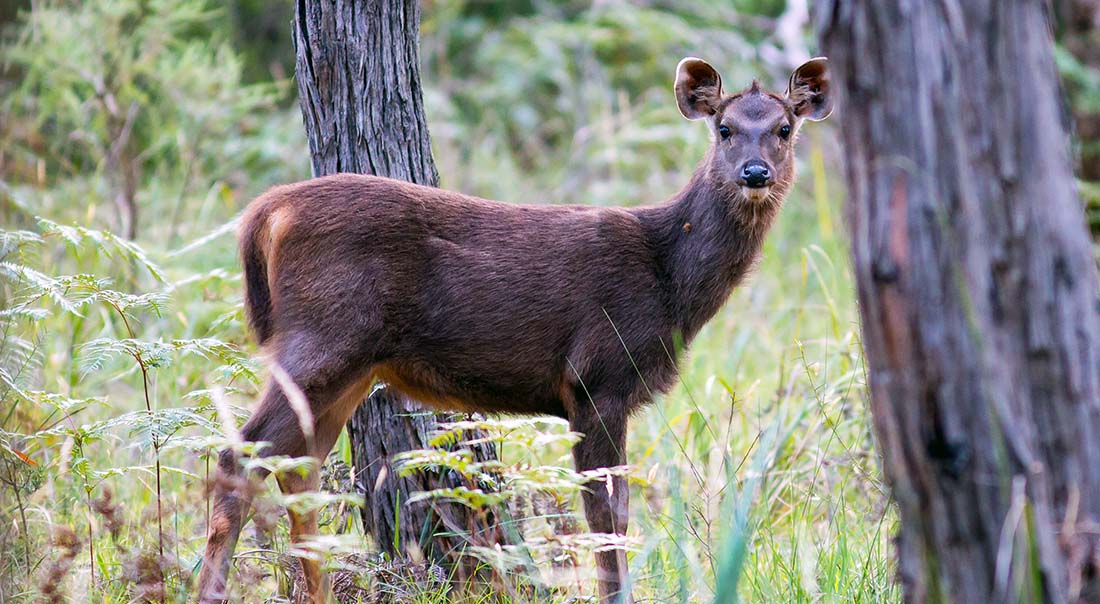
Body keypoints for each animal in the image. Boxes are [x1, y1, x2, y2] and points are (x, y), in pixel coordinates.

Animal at [196, 56, 832, 604]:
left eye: (783, 129)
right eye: (724, 129)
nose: (756, 172)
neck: (669, 279)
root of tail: (267, 211)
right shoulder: (597, 378)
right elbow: (607, 518)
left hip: (348, 365)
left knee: (295, 469)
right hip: (321, 339)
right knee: (237, 458)